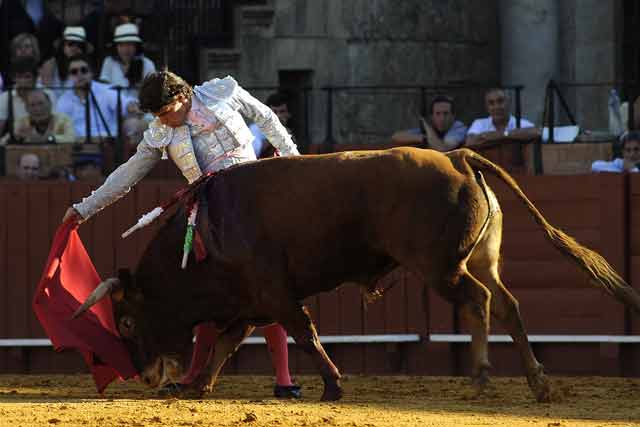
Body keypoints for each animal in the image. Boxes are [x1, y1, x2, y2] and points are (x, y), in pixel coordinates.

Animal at [75, 148, 640, 404]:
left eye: (127, 322)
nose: (146, 376)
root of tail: (456, 156)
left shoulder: (274, 293)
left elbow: (302, 334)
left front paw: (333, 385)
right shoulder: (252, 301)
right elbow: (225, 342)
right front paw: (199, 386)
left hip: (441, 268)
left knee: (479, 301)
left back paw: (481, 374)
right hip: (479, 259)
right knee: (507, 303)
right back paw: (539, 384)